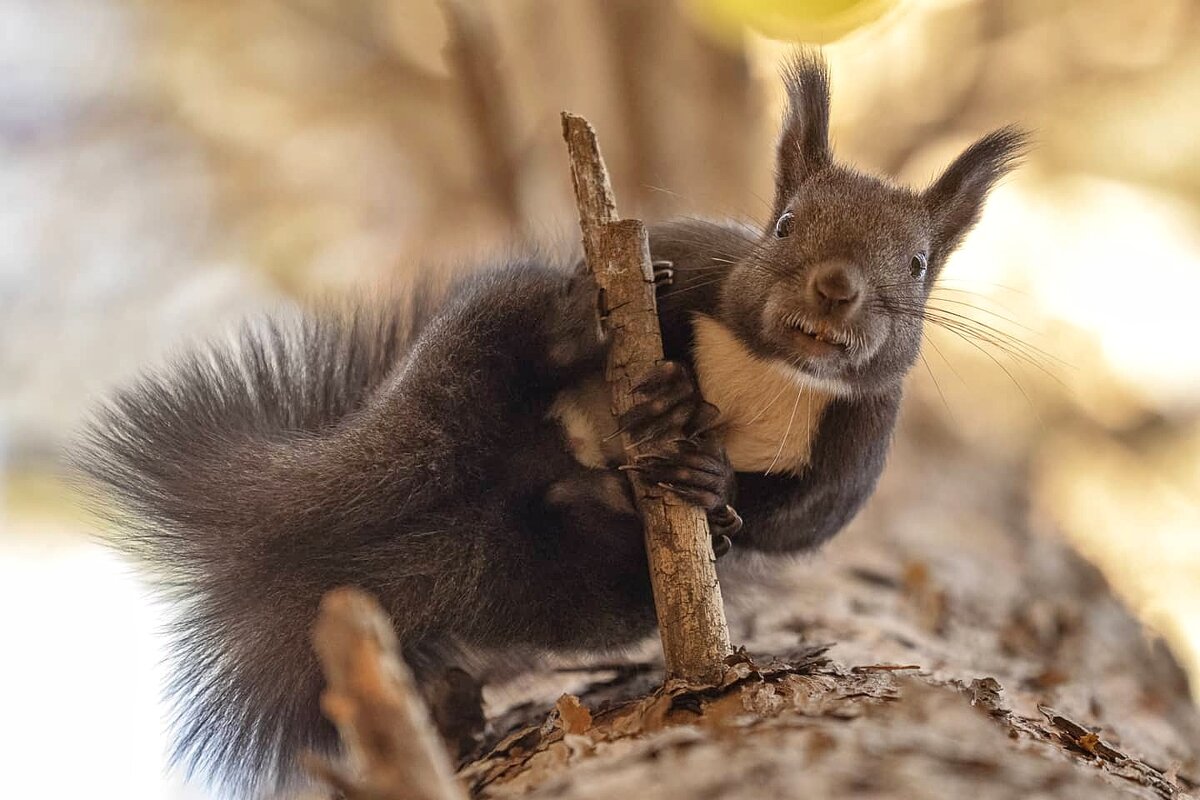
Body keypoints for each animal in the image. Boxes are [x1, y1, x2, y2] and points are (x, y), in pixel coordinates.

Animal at [77, 53, 1032, 796]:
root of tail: (506, 479)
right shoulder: (689, 251)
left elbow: (801, 521)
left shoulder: (860, 447)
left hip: (572, 582)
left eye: (918, 263)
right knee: (487, 365)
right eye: (786, 225)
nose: (836, 286)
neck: (772, 366)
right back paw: (574, 339)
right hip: (470, 354)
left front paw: (716, 485)